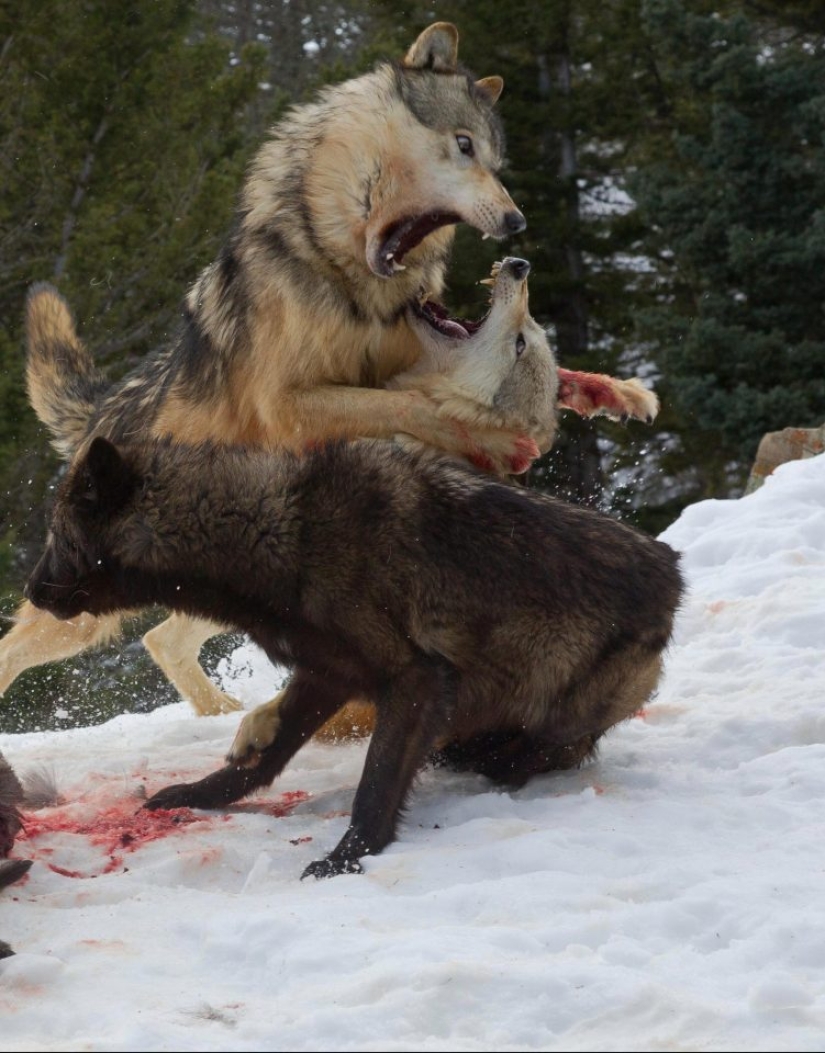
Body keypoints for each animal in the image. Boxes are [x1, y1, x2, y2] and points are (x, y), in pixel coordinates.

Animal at [26, 433, 683, 879]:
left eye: (56, 536)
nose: (30, 592)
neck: (278, 527)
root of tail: (674, 575)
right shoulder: (327, 674)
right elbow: (262, 759)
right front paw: (198, 796)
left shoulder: (415, 678)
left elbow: (375, 783)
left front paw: (348, 857)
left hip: (555, 706)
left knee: (547, 750)